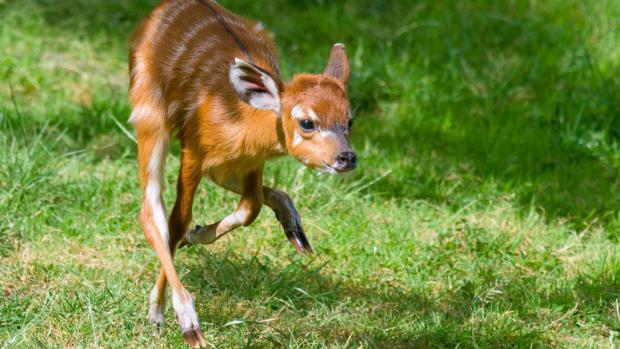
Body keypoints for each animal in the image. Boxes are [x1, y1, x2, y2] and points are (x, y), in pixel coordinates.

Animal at [128, 0, 356, 346]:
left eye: (350, 120)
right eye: (306, 122)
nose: (347, 157)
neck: (237, 120)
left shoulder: (250, 161)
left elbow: (250, 208)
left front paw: (199, 233)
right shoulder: (193, 149)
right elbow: (176, 222)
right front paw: (182, 321)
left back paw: (294, 229)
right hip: (148, 111)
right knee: (150, 210)